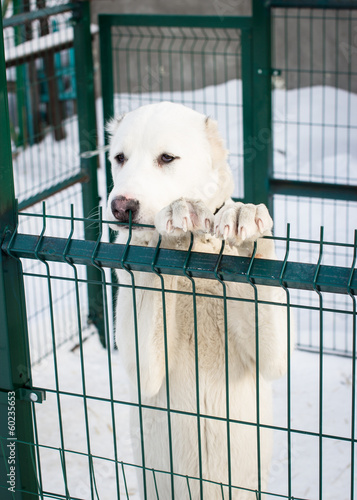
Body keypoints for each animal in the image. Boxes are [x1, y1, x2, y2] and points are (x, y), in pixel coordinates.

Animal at [105, 99, 290, 498]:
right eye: (119, 158)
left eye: (167, 157)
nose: (121, 207)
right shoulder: (143, 362)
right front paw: (178, 214)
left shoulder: (273, 353)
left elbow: (275, 356)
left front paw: (244, 217)